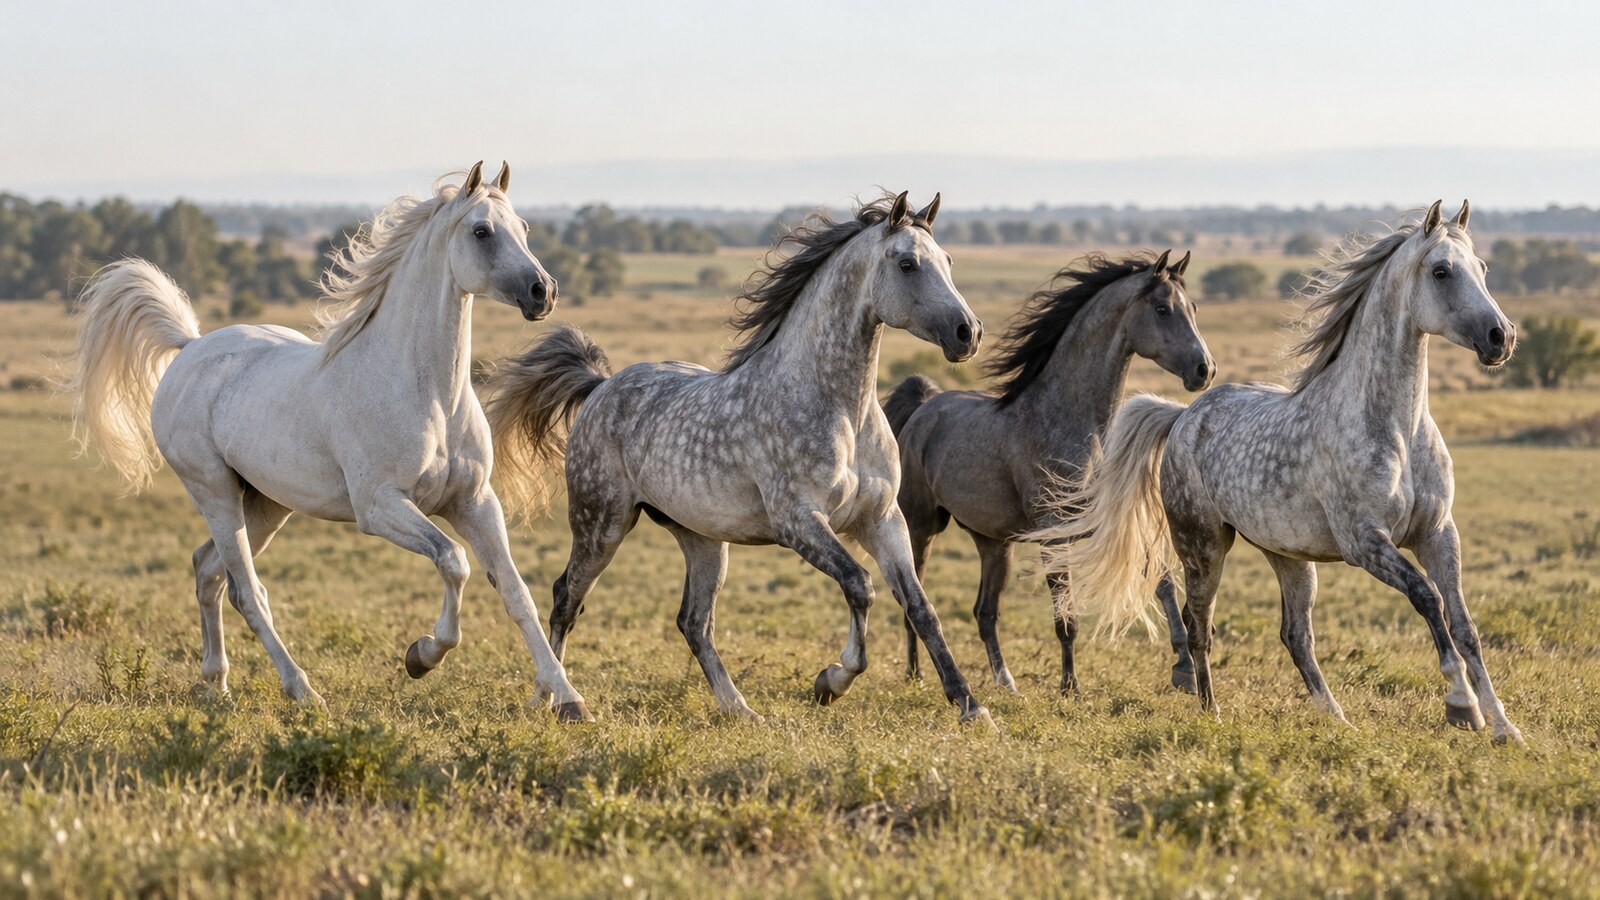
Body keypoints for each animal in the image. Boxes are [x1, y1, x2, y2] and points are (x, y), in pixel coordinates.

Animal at [66, 162, 593, 721]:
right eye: (481, 231)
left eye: (524, 229)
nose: (542, 292)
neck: (425, 391)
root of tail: (189, 349)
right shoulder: (379, 507)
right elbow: (454, 561)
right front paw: (421, 656)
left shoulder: (474, 502)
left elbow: (515, 591)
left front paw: (567, 698)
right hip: (215, 493)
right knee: (246, 591)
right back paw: (301, 690)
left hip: (266, 504)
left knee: (209, 571)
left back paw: (217, 684)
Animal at [485, 192, 994, 726]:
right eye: (907, 264)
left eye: (949, 261)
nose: (968, 333)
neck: (841, 409)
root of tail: (601, 386)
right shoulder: (798, 521)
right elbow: (860, 585)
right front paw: (831, 681)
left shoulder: (882, 519)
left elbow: (921, 608)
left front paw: (970, 705)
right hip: (601, 524)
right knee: (566, 597)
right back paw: (555, 699)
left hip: (703, 539)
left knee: (694, 622)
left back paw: (738, 708)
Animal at [884, 250, 1214, 696]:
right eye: (1162, 309)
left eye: (1193, 307)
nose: (1204, 370)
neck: (1074, 423)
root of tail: (924, 406)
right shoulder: (1053, 533)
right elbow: (1065, 618)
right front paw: (1070, 687)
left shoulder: (1108, 522)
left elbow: (1162, 582)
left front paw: (1183, 668)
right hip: (922, 529)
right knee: (913, 600)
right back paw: (915, 675)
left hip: (994, 544)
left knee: (985, 612)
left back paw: (1006, 683)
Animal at [1036, 201, 1523, 743]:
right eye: (1441, 271)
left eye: (1482, 268)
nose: (1501, 337)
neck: (1396, 427)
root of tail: (1182, 417)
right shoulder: (1365, 543)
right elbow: (1428, 599)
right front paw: (1462, 706)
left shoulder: (1438, 534)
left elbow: (1465, 626)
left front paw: (1504, 726)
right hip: (1204, 547)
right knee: (1199, 625)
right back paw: (1211, 712)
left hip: (1289, 557)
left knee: (1295, 635)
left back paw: (1336, 718)